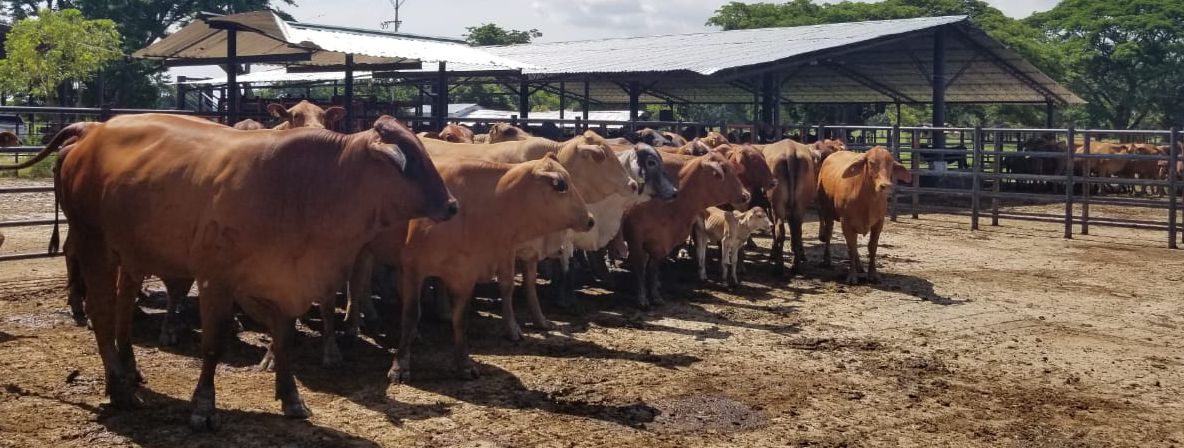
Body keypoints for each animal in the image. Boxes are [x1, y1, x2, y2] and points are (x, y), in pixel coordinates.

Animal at [36, 114, 455, 429]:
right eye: (411, 163)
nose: (452, 205)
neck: (306, 188)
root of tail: (94, 131)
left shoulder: (284, 284)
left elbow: (284, 342)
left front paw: (291, 398)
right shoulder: (215, 280)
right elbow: (213, 346)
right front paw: (203, 407)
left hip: (131, 256)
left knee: (123, 309)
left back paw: (130, 370)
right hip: (94, 243)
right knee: (102, 312)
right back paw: (120, 387)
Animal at [389, 155, 593, 382]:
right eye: (562, 185)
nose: (590, 220)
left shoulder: (466, 275)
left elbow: (461, 320)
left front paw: (465, 364)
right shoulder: (413, 269)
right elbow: (410, 315)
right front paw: (400, 366)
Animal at [622, 151, 749, 308]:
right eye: (723, 169)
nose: (746, 195)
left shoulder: (661, 243)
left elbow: (653, 269)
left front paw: (656, 296)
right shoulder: (635, 239)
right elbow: (640, 268)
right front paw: (642, 299)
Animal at [817, 146, 912, 284]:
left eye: (890, 164)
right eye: (871, 162)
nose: (886, 186)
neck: (867, 200)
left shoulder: (879, 222)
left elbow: (872, 247)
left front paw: (873, 274)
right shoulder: (846, 223)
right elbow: (851, 248)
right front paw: (852, 276)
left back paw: (859, 266)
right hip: (827, 213)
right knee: (829, 235)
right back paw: (827, 260)